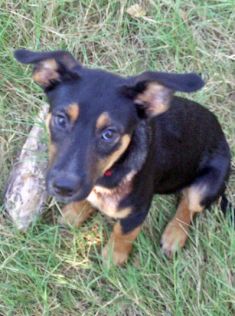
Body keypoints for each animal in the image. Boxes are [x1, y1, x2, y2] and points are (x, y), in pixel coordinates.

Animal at [15, 49, 231, 266]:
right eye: (60, 119)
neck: (110, 172)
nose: (64, 188)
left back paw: (174, 235)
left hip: (208, 184)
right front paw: (73, 214)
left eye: (109, 134)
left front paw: (113, 258)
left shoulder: (137, 211)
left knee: (189, 205)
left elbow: (123, 233)